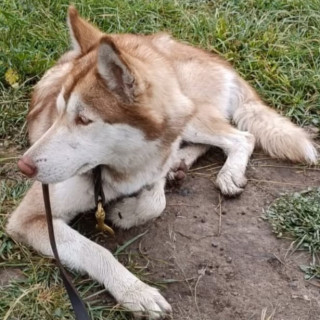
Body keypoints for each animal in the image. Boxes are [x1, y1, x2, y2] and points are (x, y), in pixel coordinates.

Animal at [6, 6, 316, 318]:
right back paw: (184, 165)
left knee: (242, 136)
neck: (121, 167)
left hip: (188, 113)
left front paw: (126, 213)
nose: (25, 166)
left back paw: (223, 171)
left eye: (83, 120)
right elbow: (95, 249)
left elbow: (156, 202)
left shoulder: (152, 162)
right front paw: (136, 291)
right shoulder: (30, 218)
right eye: (57, 113)